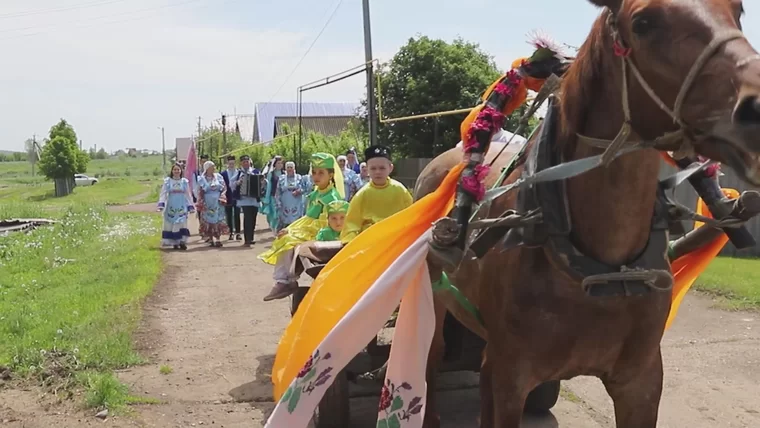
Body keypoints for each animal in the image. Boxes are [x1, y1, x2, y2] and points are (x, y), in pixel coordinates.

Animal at [416, 0, 760, 426]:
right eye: (643, 23)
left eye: (738, 11)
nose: (755, 105)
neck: (603, 268)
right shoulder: (514, 375)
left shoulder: (641, 380)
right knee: (432, 358)